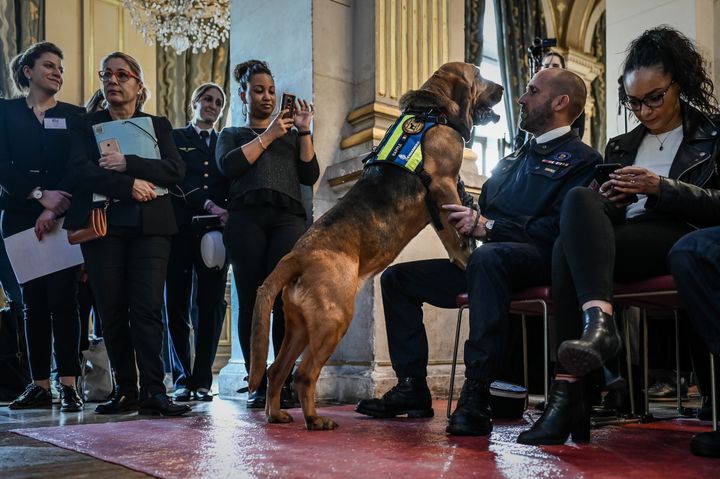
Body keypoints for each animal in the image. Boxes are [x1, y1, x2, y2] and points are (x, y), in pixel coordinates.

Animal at [250, 61, 504, 432]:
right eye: (478, 75)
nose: (501, 89)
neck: (433, 110)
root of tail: (295, 256)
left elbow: (451, 232)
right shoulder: (442, 188)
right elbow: (455, 233)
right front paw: (466, 256)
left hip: (298, 328)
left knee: (276, 370)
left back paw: (276, 414)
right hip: (333, 321)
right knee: (304, 374)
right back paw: (314, 419)